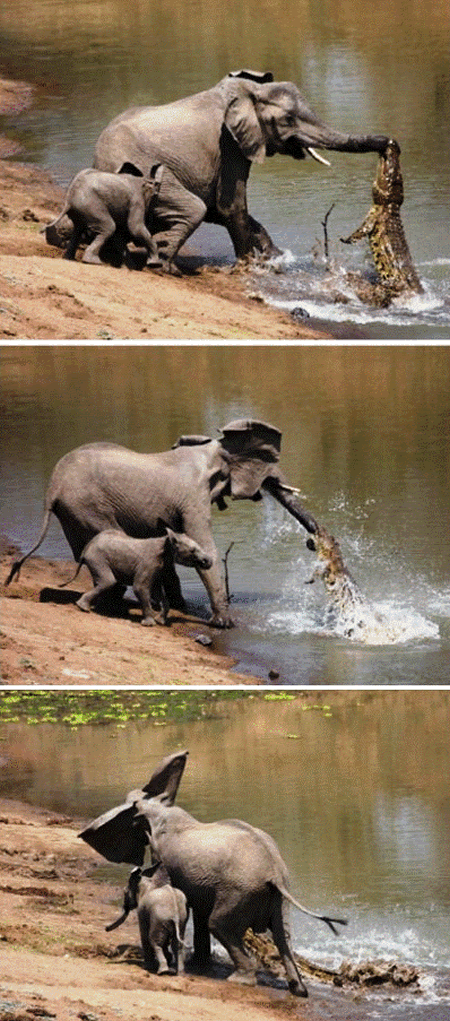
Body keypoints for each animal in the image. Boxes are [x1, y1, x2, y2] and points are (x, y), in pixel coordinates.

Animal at [62, 530, 213, 624]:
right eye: (192, 551)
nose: (207, 561)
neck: (167, 541)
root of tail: (87, 547)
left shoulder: (159, 567)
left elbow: (156, 592)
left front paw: (160, 621)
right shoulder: (148, 563)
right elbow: (140, 588)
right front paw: (149, 624)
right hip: (97, 559)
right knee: (108, 581)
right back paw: (83, 608)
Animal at [92, 68, 387, 265]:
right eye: (288, 120)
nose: (388, 142)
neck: (248, 92)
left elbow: (221, 210)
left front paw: (275, 259)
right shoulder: (229, 145)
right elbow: (230, 206)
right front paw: (249, 267)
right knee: (193, 209)